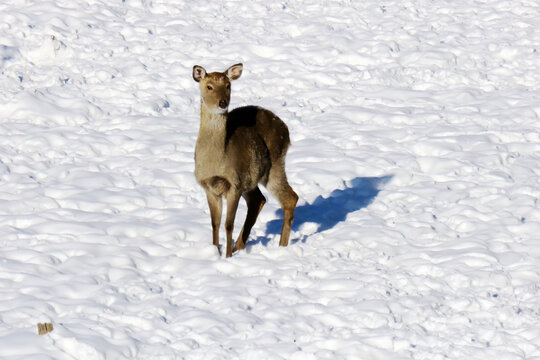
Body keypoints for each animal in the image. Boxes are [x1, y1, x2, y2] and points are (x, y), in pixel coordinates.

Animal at [192, 63, 298, 258]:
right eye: (209, 86)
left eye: (228, 86)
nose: (222, 103)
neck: (216, 164)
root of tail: (286, 129)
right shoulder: (208, 187)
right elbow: (215, 223)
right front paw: (215, 252)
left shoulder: (235, 184)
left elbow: (228, 225)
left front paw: (227, 257)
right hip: (253, 176)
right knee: (260, 199)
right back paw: (240, 246)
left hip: (274, 165)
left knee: (290, 198)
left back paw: (281, 247)